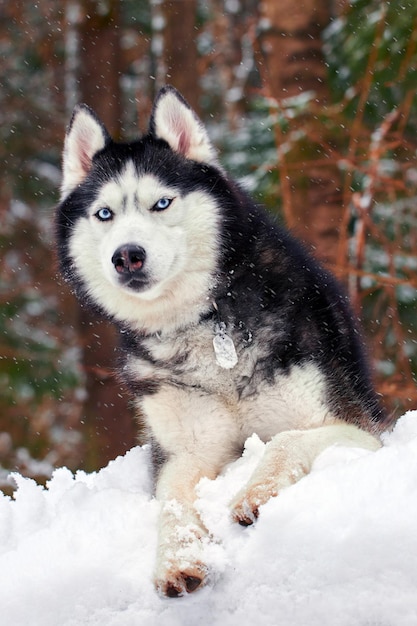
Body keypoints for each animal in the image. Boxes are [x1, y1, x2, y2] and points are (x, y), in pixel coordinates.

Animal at [55, 84, 384, 596]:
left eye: (162, 203)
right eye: (104, 214)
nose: (127, 256)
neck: (206, 324)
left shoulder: (357, 428)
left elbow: (285, 439)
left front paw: (258, 491)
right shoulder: (186, 452)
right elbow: (172, 499)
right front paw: (177, 559)